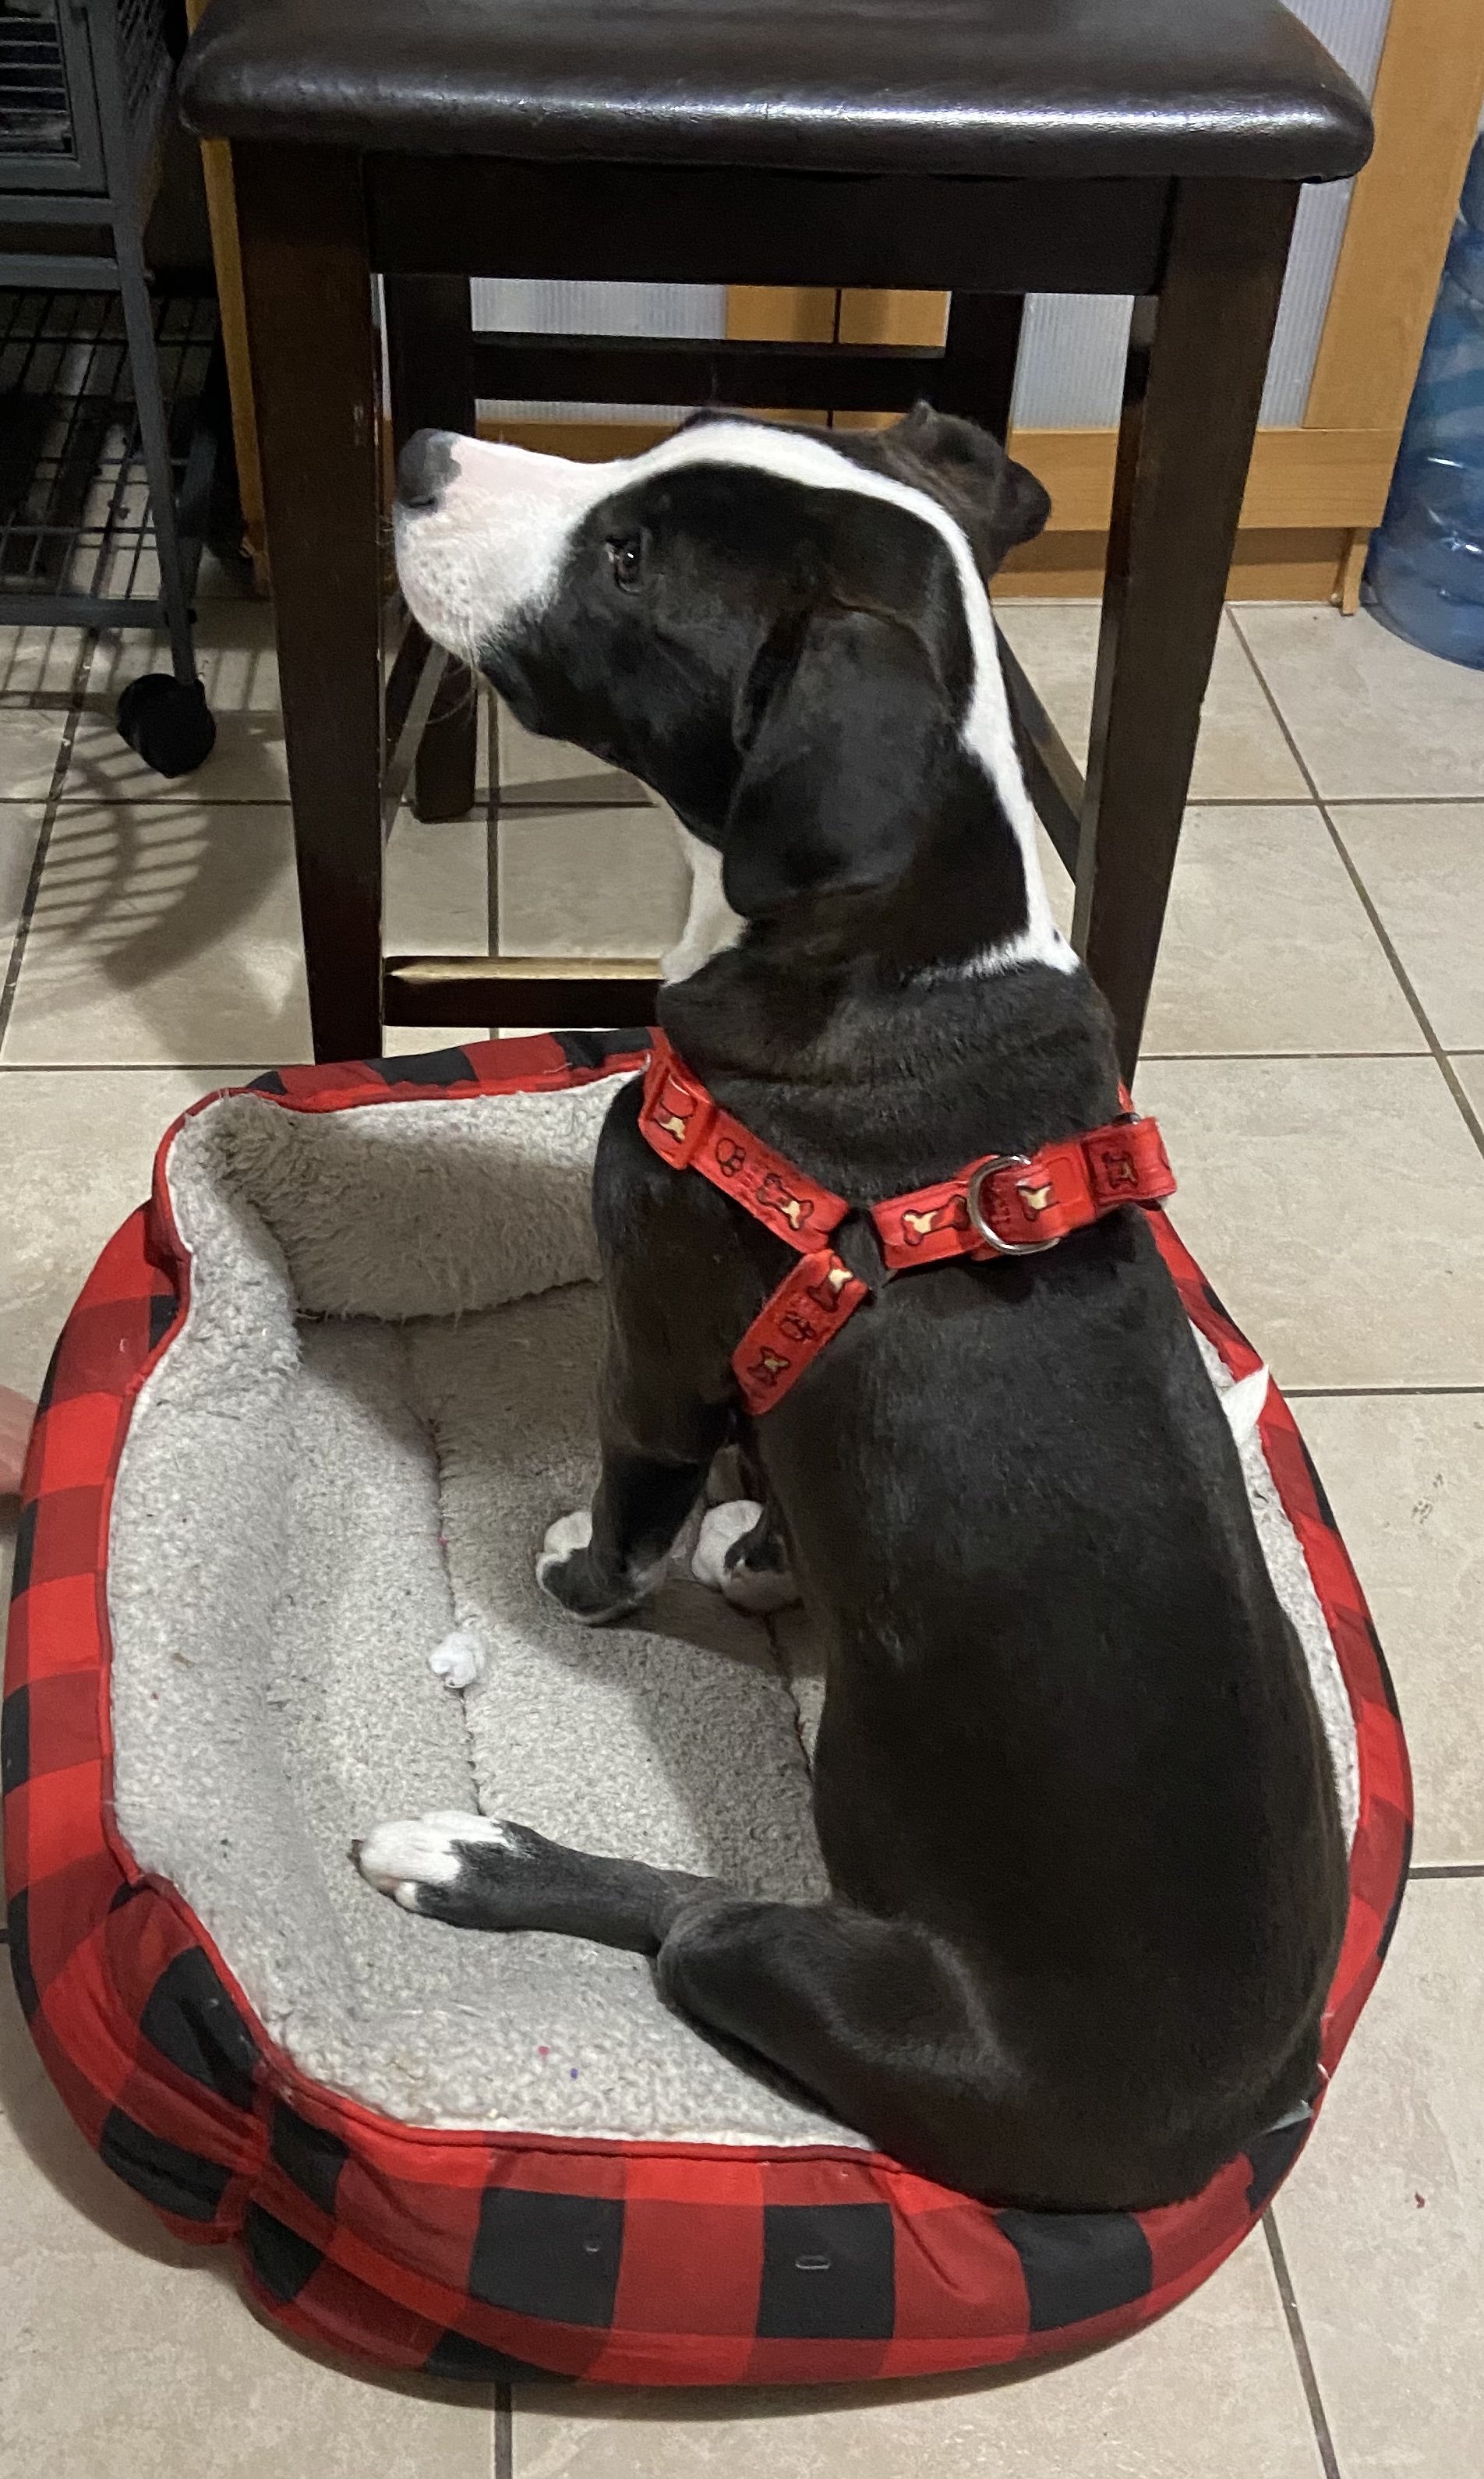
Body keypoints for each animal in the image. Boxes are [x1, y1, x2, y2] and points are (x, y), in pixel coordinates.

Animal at [358, 406, 1347, 2211]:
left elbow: (631, 1525)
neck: (890, 953)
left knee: (687, 1921)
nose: (420, 452)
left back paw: (466, 1857)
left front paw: (597, 1574)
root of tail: (1215, 2134)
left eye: (630, 560)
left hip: (813, 1965)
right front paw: (761, 1547)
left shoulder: (660, 1352)